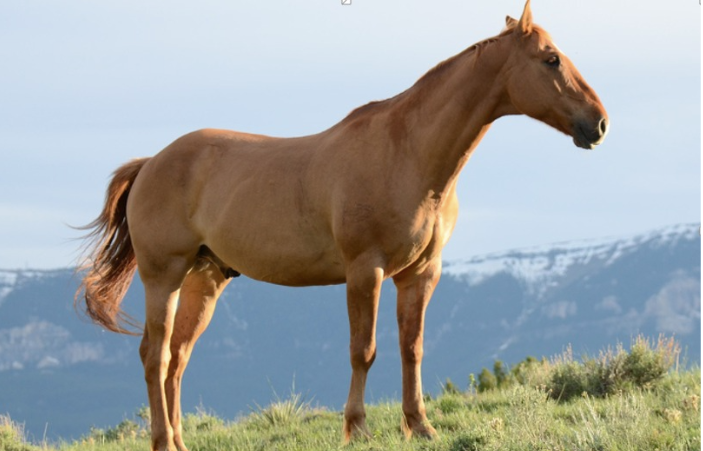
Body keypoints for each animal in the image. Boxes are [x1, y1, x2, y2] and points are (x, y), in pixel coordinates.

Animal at [76, 1, 608, 450]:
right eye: (551, 60)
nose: (599, 123)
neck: (408, 154)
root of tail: (151, 162)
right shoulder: (364, 271)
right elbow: (363, 350)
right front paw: (357, 428)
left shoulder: (421, 274)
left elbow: (412, 348)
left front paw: (420, 426)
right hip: (163, 275)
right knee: (156, 355)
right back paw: (163, 441)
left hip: (205, 280)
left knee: (178, 359)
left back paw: (180, 441)